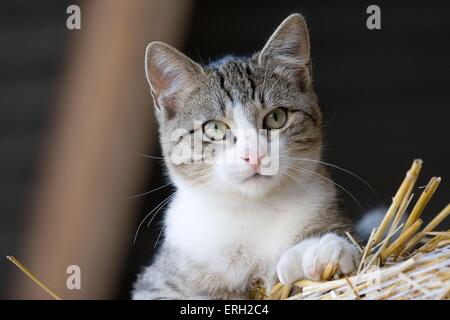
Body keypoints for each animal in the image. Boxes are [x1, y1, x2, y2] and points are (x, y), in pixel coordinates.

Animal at [132, 13, 360, 300]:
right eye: (215, 128)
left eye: (276, 117)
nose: (254, 155)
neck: (251, 209)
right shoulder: (155, 282)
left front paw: (324, 250)